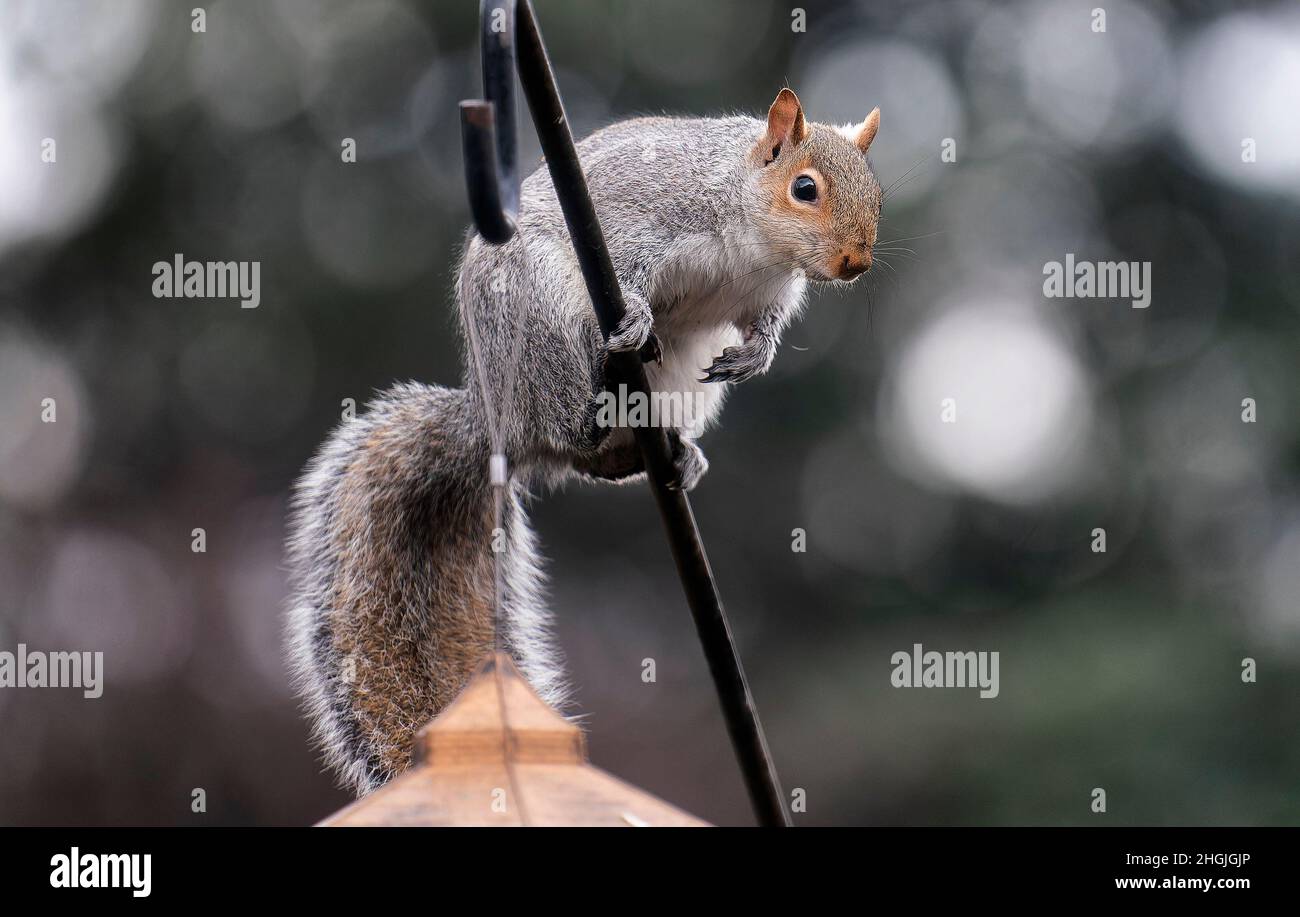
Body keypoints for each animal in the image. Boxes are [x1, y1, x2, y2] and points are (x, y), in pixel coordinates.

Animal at [287, 87, 883, 796]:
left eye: (877, 194)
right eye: (804, 188)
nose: (856, 262)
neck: (749, 229)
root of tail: (498, 422)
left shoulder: (764, 293)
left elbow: (760, 329)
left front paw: (755, 357)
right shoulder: (639, 217)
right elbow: (629, 269)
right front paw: (635, 315)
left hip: (678, 377)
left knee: (596, 458)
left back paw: (670, 453)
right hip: (539, 314)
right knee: (567, 430)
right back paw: (595, 407)